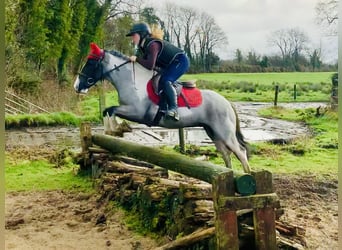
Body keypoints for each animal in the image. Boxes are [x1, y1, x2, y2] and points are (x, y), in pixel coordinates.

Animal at [75, 42, 251, 173]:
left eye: (91, 63)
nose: (77, 86)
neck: (132, 81)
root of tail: (227, 102)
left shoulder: (137, 112)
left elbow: (111, 110)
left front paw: (117, 129)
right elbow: (107, 110)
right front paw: (113, 131)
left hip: (224, 133)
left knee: (240, 152)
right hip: (213, 132)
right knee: (226, 154)